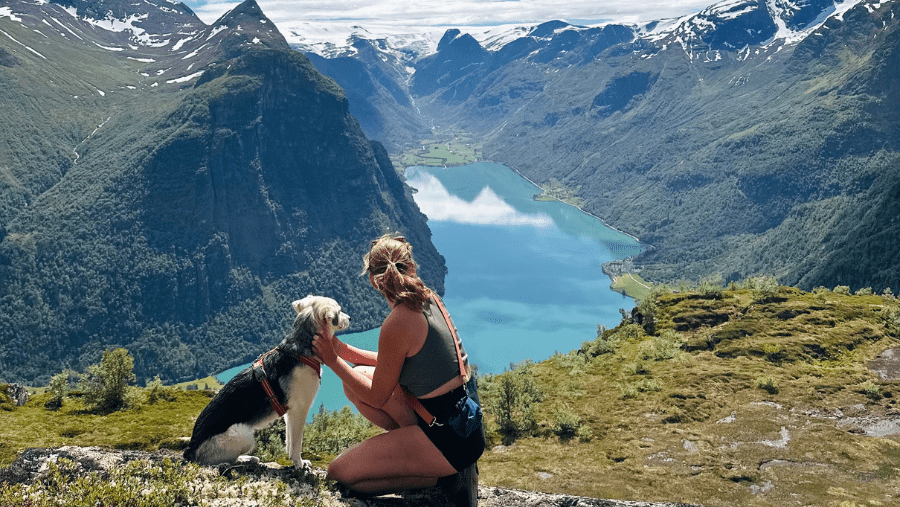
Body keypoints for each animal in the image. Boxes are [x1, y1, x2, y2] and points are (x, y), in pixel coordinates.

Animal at [185, 296, 350, 470]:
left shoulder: (290, 413)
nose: (350, 318)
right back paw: (240, 460)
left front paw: (292, 459)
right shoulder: (300, 409)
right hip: (243, 434)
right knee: (223, 461)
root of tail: (190, 451)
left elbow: (289, 441)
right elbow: (297, 443)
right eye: (339, 311)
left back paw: (248, 458)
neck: (298, 351)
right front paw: (299, 464)